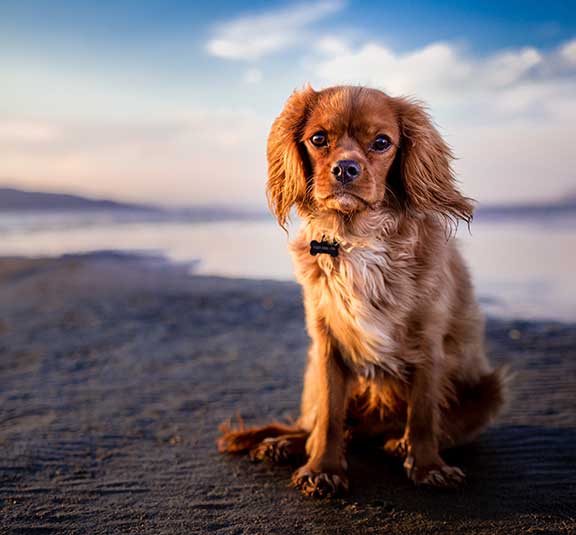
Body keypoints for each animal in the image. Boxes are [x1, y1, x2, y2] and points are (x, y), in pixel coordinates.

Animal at [218, 85, 506, 498]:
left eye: (382, 142)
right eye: (318, 139)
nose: (345, 169)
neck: (357, 239)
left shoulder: (428, 341)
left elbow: (423, 413)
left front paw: (428, 466)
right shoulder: (326, 341)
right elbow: (329, 417)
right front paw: (322, 468)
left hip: (489, 391)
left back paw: (398, 443)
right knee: (318, 424)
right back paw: (284, 443)